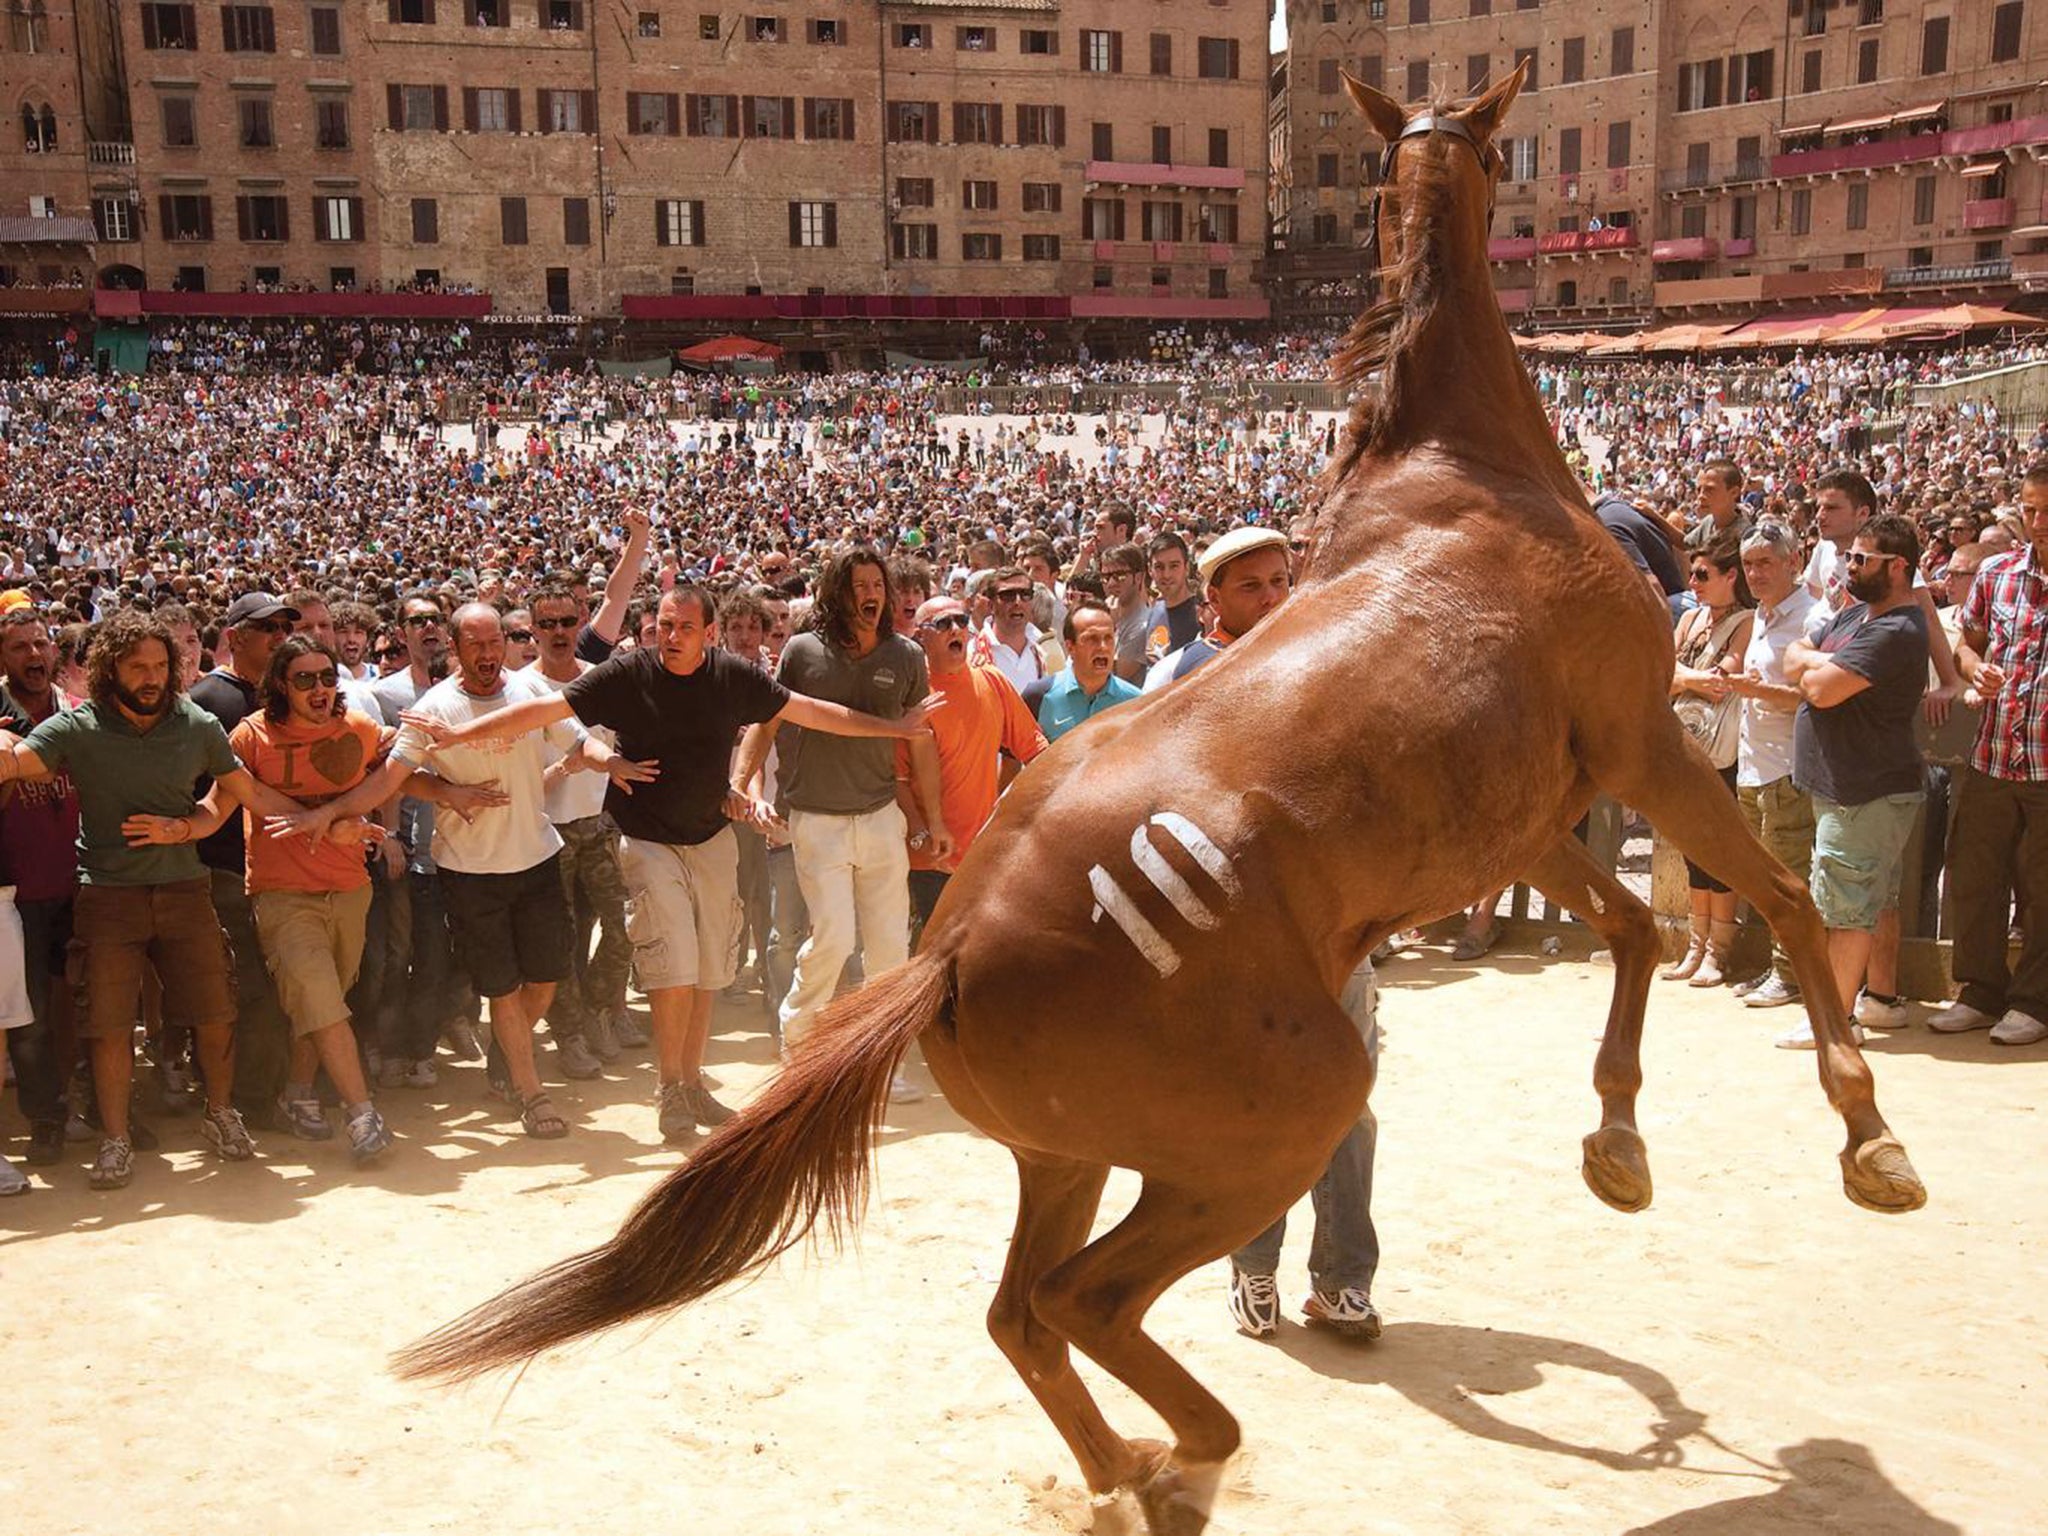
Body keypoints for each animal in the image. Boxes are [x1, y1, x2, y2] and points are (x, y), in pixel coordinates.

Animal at [391, 69, 1925, 1531]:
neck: (1461, 476)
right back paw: (1179, 1463)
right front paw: (1869, 1136)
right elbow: (1775, 901)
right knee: (1084, 1302)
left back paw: (1129, 1468)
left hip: (1067, 1154)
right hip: (1263, 1131)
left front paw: (1617, 1142)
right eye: (1504, 151)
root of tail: (948, 952)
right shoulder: (1639, 745)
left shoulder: (1535, 815)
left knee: (1023, 1310)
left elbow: (1626, 928)